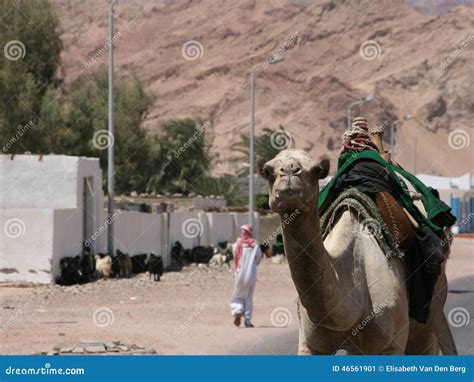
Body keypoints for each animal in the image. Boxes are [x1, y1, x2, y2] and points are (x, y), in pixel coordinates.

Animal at [258, 148, 458, 356]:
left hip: (429, 314)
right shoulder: (311, 345)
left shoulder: (391, 344)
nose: (290, 170)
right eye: (267, 171)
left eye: (316, 171)